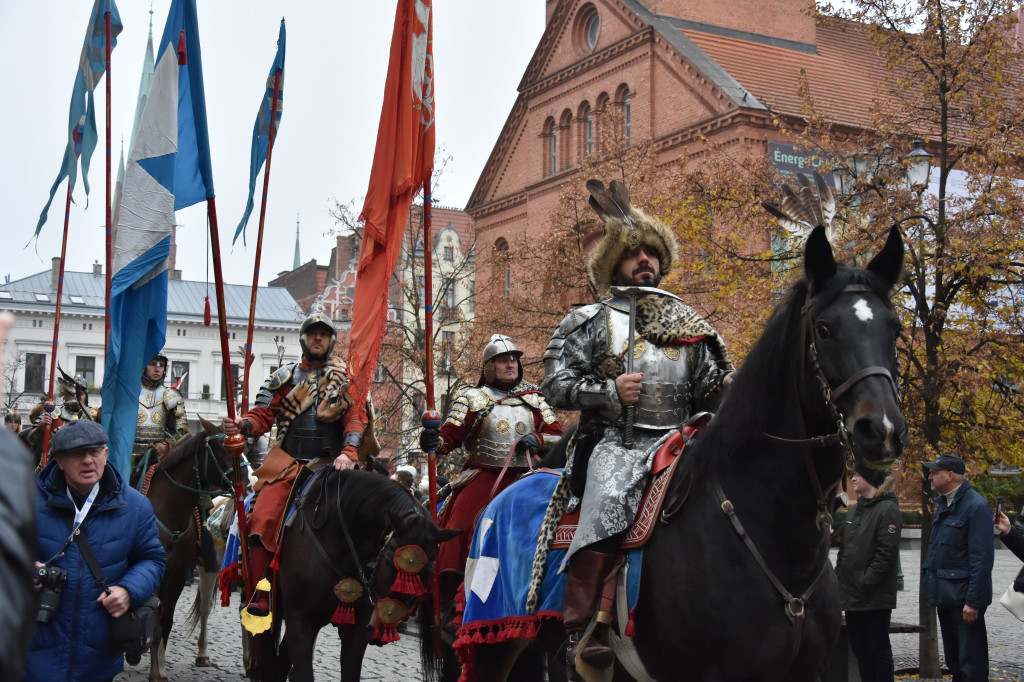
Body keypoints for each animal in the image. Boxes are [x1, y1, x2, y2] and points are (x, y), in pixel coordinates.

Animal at [142, 413, 237, 679]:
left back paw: (203, 655)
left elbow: (165, 620)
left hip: (209, 566)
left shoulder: (176, 574)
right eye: (223, 448)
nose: (248, 480)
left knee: (204, 608)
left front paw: (159, 667)